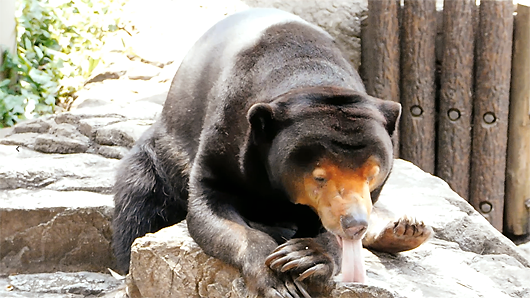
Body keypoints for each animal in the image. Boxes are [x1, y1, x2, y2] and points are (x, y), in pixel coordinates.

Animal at [111, 7, 428, 298]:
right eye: (319, 177)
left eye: (372, 175)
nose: (354, 226)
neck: (309, 74)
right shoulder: (227, 133)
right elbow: (211, 204)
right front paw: (279, 281)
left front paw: (305, 254)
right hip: (161, 156)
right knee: (140, 201)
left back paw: (406, 229)